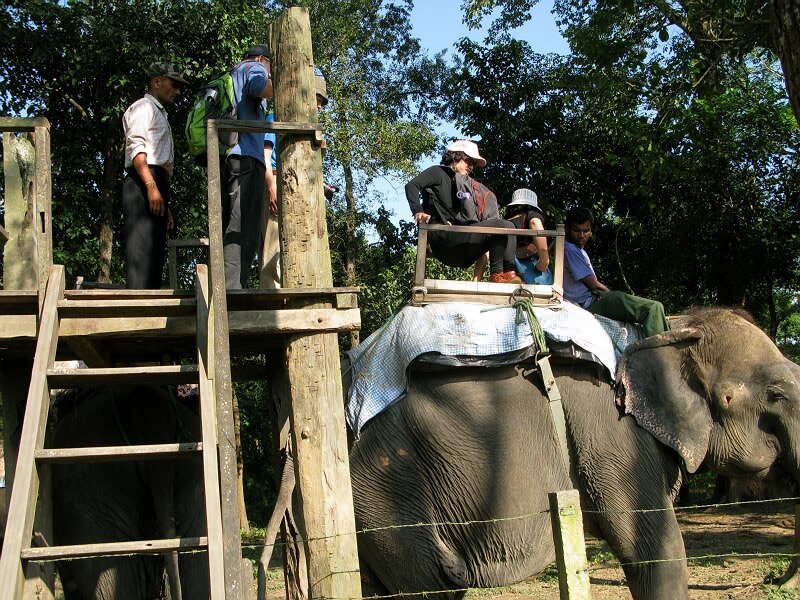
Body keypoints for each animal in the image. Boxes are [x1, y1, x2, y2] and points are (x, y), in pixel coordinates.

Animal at [348, 310, 800, 600]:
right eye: (775, 395)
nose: (773, 584)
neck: (670, 329)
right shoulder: (617, 439)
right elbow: (656, 551)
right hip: (385, 493)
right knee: (432, 583)